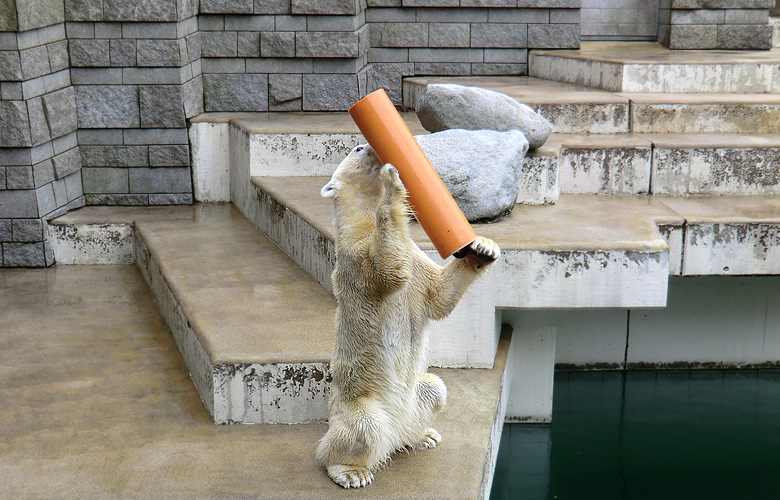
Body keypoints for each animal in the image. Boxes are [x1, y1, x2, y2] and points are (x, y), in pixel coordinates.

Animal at [316, 144, 500, 488]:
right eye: (357, 149)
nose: (368, 146)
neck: (359, 225)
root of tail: (394, 432)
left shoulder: (416, 258)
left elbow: (438, 295)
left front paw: (482, 247)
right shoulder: (356, 258)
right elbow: (388, 269)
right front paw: (392, 181)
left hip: (414, 396)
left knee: (435, 388)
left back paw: (422, 436)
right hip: (359, 401)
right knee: (362, 427)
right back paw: (351, 471)